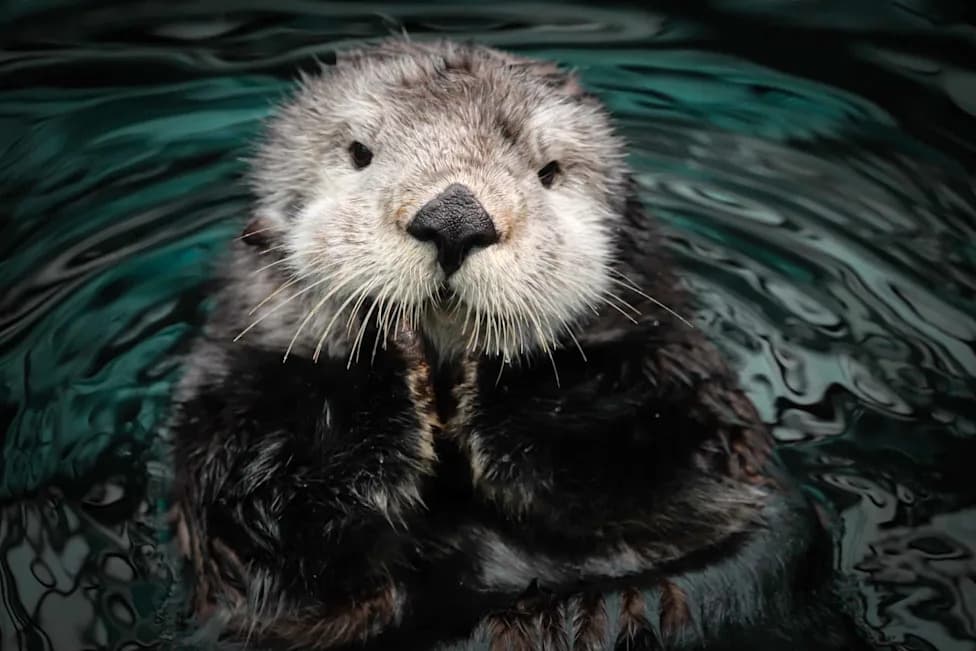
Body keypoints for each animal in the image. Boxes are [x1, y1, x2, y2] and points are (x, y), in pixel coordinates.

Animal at [168, 39, 873, 650]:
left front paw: (504, 353)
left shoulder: (688, 399)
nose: (455, 218)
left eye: (549, 171)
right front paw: (382, 339)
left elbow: (652, 459)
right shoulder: (230, 415)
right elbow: (275, 526)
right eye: (360, 152)